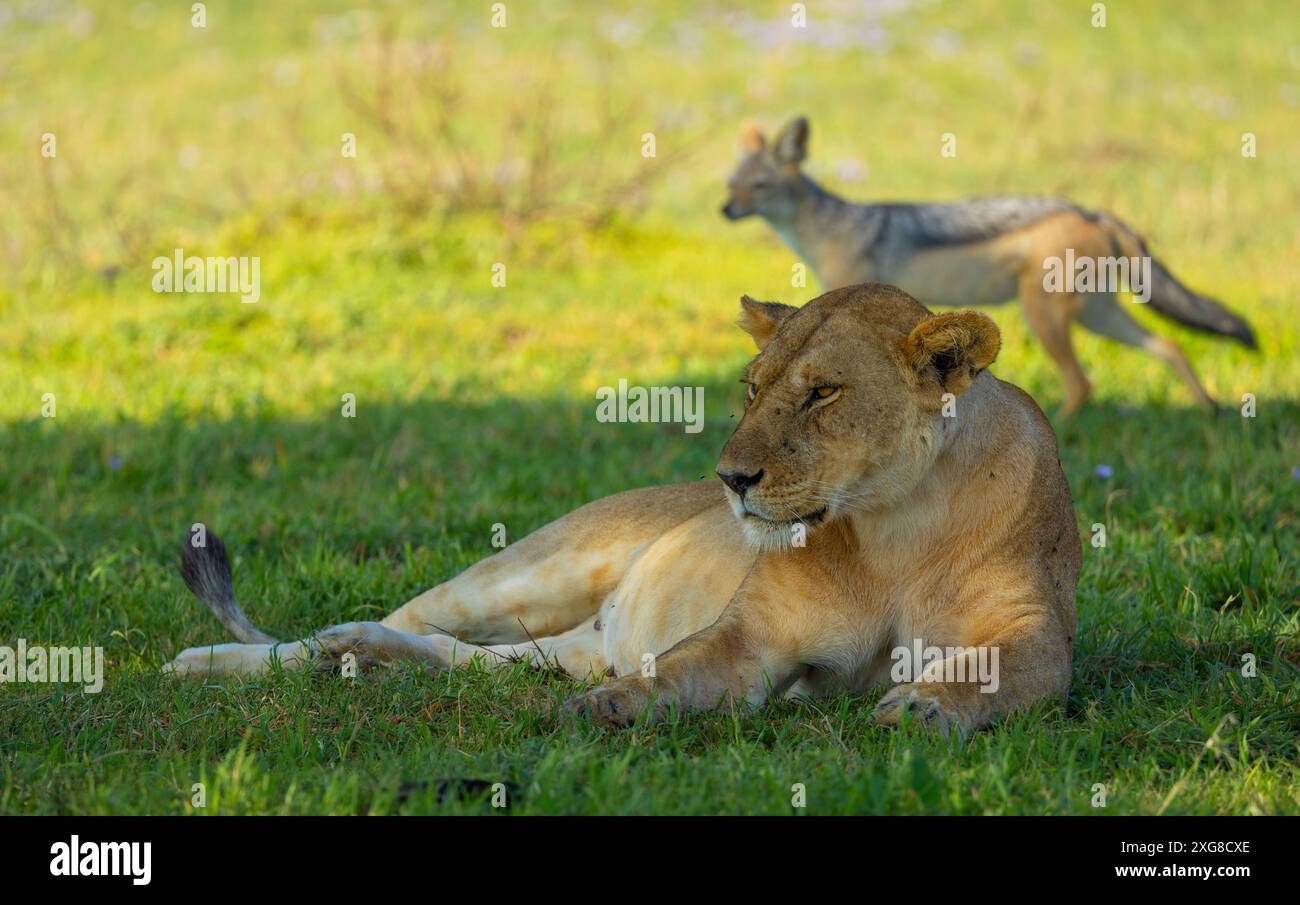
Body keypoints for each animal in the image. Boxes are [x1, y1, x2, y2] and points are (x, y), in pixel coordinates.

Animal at [167, 283, 1080, 735]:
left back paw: (360, 661)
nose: (730, 478)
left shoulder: (1034, 633)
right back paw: (224, 661)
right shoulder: (755, 635)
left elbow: (990, 672)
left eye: (822, 393)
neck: (892, 524)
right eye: (752, 388)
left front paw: (927, 705)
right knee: (369, 624)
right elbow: (679, 669)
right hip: (531, 569)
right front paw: (616, 709)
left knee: (462, 654)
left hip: (559, 642)